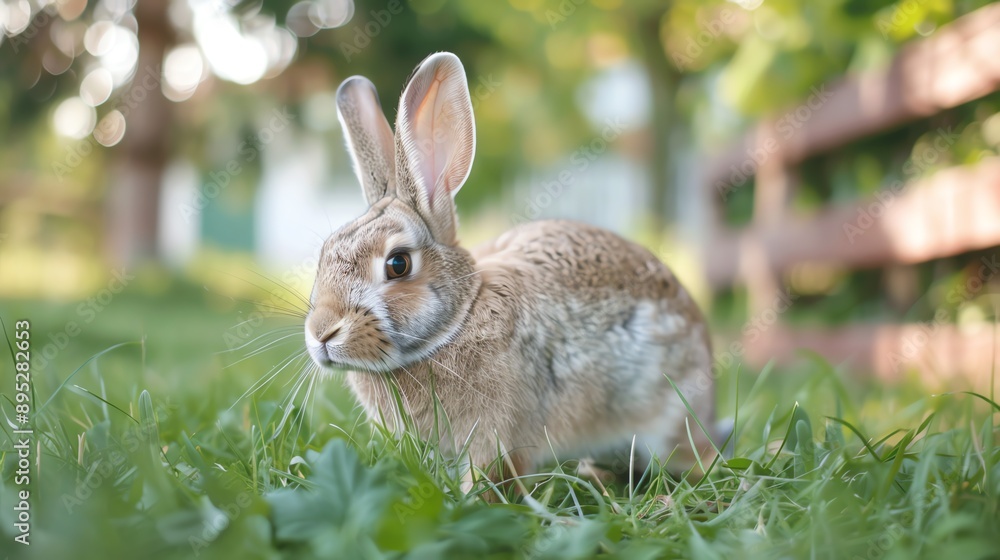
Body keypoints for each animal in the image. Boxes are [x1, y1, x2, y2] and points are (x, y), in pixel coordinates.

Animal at [305, 52, 720, 492]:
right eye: (324, 255)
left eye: (397, 264)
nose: (321, 333)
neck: (459, 319)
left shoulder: (499, 436)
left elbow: (494, 475)